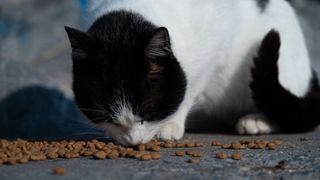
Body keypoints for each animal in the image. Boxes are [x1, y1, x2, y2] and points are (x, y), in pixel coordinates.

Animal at [63, 0, 318, 146]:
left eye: (148, 113)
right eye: (108, 116)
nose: (133, 141)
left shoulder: (215, 43)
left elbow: (192, 88)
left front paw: (171, 125)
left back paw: (257, 121)